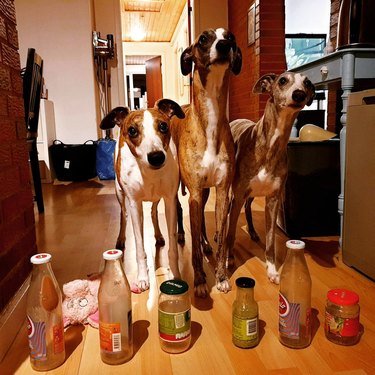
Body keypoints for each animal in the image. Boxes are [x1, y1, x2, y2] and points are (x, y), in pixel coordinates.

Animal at [100, 99, 185, 290]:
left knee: (153, 212)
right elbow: (139, 247)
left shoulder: (170, 200)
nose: (156, 157)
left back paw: (159, 236)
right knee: (123, 215)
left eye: (163, 126)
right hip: (120, 193)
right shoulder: (134, 204)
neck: (148, 173)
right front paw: (142, 278)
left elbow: (173, 246)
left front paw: (175, 274)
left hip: (157, 199)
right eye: (132, 130)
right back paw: (121, 239)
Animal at [169, 27, 242, 298]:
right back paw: (182, 234)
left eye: (231, 38)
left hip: (205, 191)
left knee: (200, 220)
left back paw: (205, 242)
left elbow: (221, 239)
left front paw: (220, 277)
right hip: (181, 188)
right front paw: (200, 281)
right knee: (182, 212)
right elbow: (195, 252)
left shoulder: (221, 192)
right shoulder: (194, 192)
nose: (223, 46)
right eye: (203, 39)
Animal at [225, 72, 316, 284]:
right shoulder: (238, 194)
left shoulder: (273, 199)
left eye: (307, 83)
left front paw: (273, 269)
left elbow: (271, 239)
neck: (271, 144)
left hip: (251, 194)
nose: (299, 94)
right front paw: (229, 259)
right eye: (283, 80)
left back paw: (252, 231)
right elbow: (231, 232)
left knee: (248, 208)